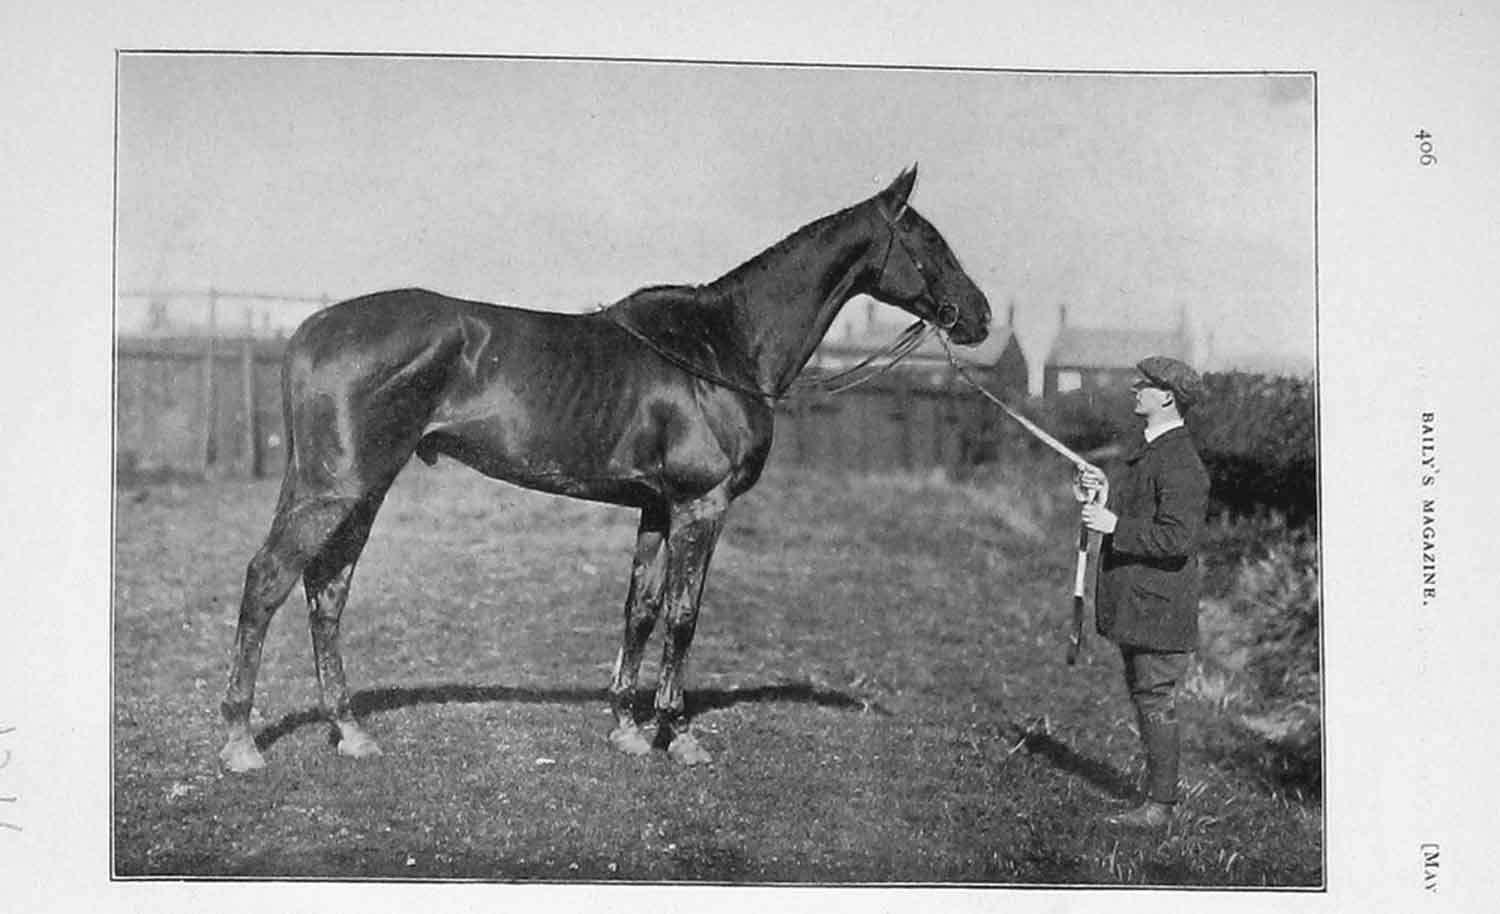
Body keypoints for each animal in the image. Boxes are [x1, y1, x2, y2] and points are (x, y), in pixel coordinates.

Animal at [218, 165, 991, 772]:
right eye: (928, 241)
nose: (978, 316)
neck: (722, 346)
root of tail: (310, 331)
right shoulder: (702, 506)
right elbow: (683, 616)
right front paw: (678, 735)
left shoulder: (655, 507)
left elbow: (639, 610)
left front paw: (626, 727)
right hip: (335, 488)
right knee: (269, 579)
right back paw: (239, 742)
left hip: (364, 488)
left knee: (327, 590)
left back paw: (348, 731)